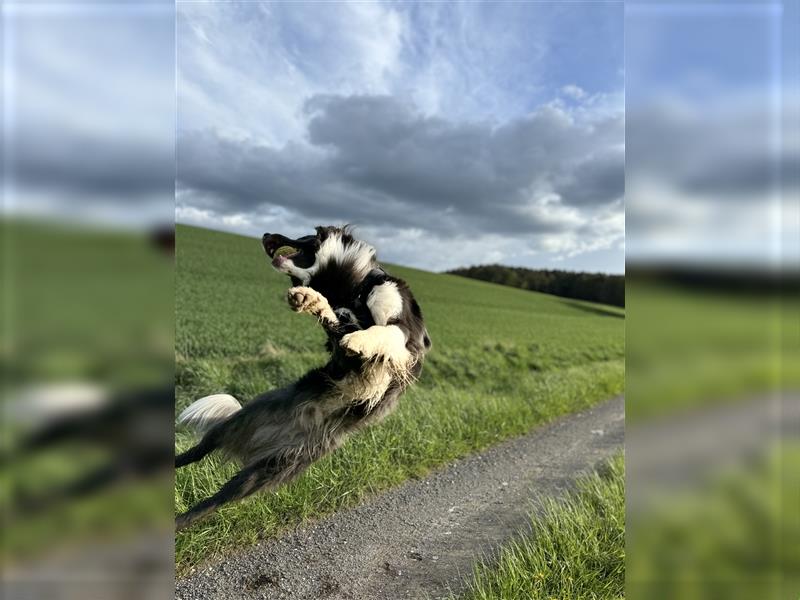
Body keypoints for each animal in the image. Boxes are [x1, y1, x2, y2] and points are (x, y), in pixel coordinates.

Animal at [176, 225, 432, 528]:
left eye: (303, 236)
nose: (265, 234)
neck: (355, 291)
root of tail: (259, 443)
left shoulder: (407, 338)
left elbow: (384, 332)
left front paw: (359, 339)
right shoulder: (339, 341)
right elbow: (336, 321)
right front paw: (312, 300)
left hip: (268, 470)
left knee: (208, 505)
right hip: (234, 425)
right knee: (195, 453)